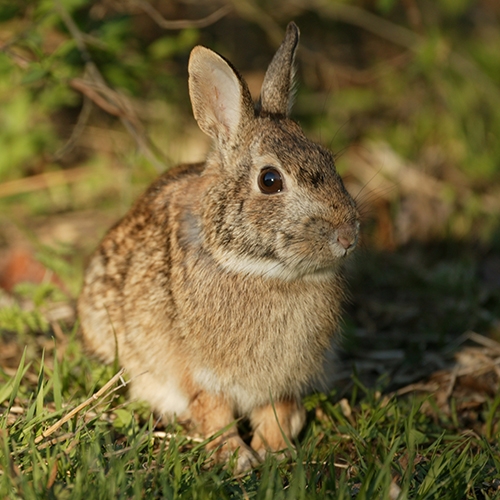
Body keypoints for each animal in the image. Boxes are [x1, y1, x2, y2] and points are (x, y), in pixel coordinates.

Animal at [78, 20, 360, 472]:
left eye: (329, 160)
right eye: (270, 180)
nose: (347, 235)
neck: (261, 269)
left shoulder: (283, 381)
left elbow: (277, 411)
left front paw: (276, 451)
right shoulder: (199, 372)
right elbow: (214, 410)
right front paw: (236, 457)